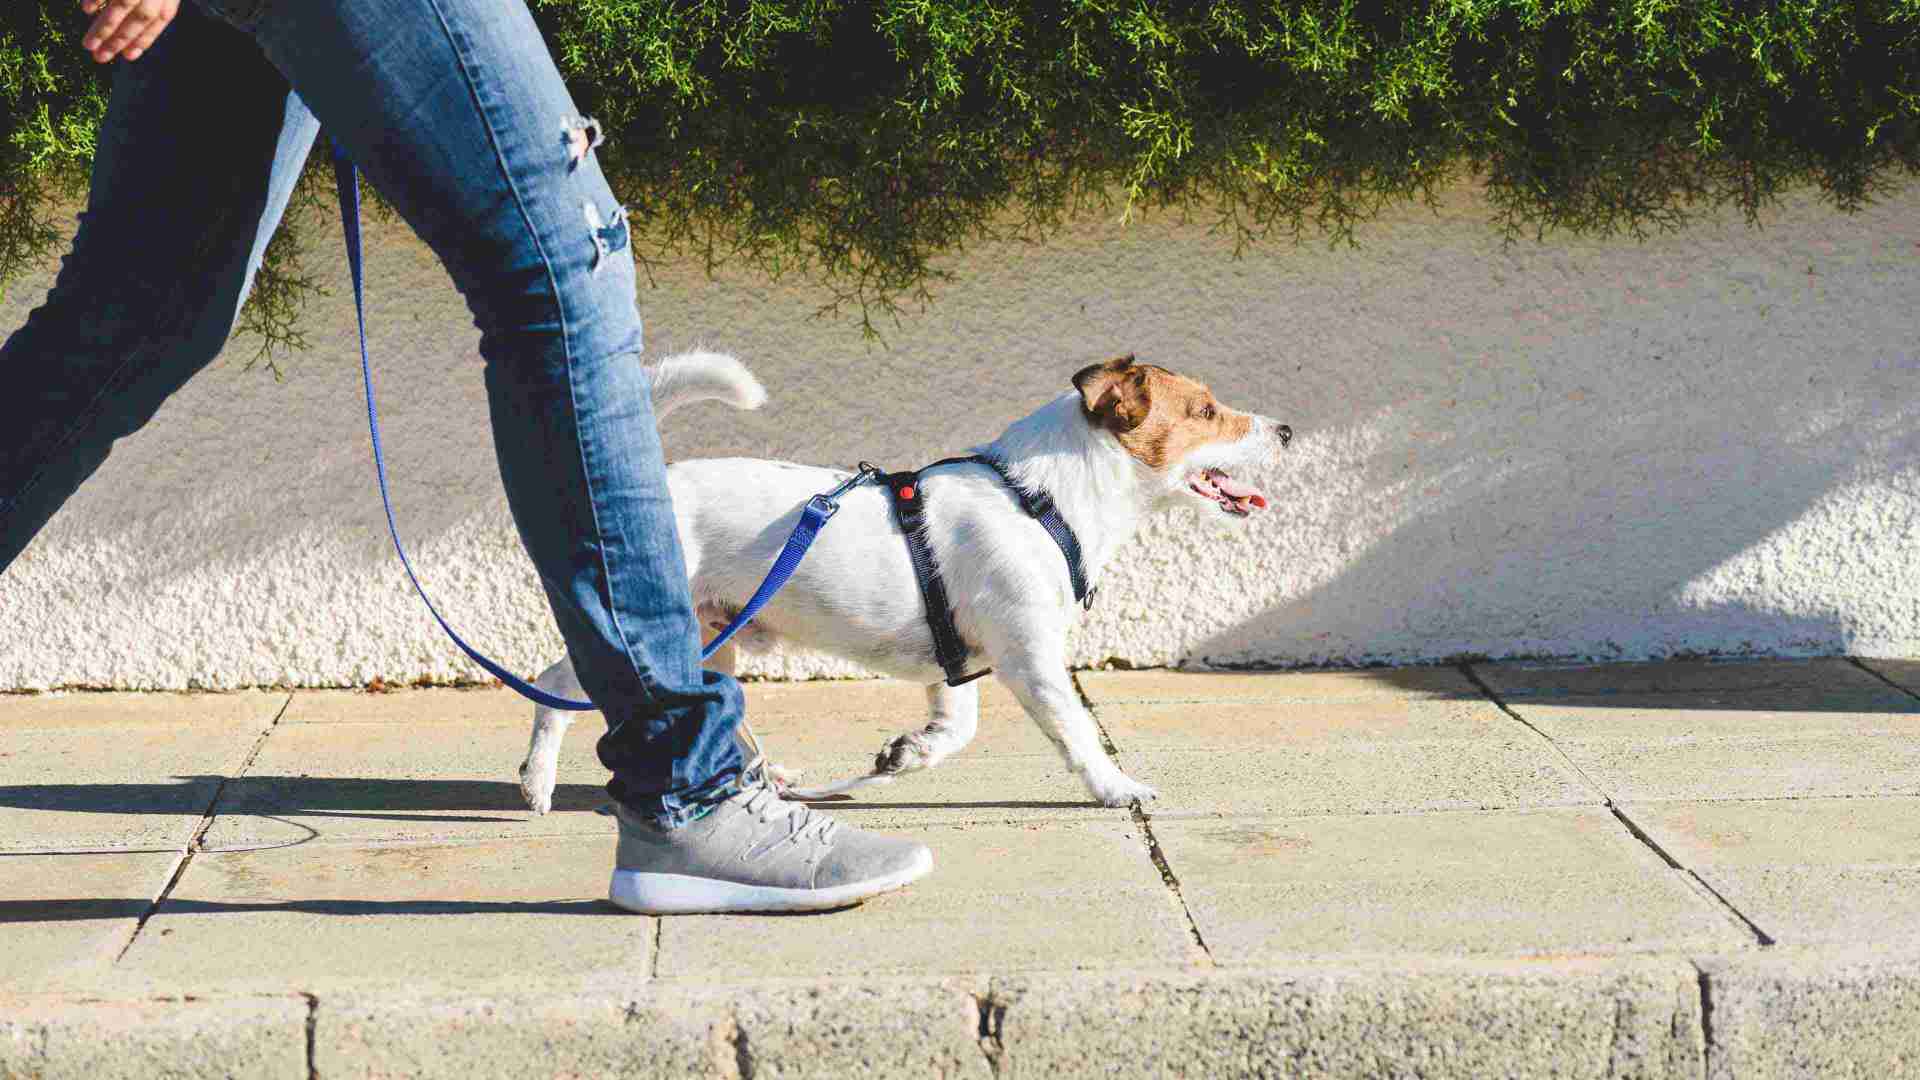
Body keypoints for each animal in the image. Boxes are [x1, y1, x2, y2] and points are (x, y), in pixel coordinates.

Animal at [518, 351, 1290, 807]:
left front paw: (906, 754)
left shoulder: (957, 666)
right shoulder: (1032, 659)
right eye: (1206, 411)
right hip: (654, 630)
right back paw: (537, 782)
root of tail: (657, 485)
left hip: (715, 637)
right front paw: (1115, 786)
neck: (1041, 498)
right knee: (555, 687)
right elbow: (1077, 732)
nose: (1285, 431)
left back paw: (769, 779)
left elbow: (954, 731)